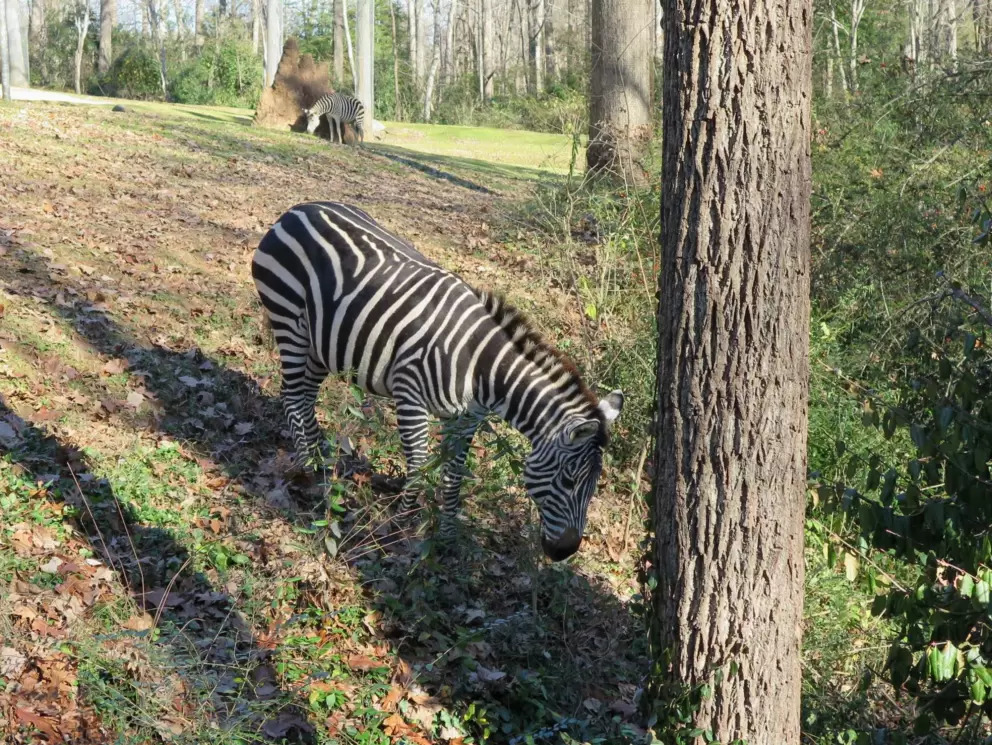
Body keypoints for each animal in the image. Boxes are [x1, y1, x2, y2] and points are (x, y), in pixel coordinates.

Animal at [251, 202, 624, 562]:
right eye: (568, 480)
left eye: (593, 486)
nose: (565, 553)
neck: (480, 366)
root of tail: (299, 209)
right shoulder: (410, 396)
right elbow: (418, 464)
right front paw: (401, 529)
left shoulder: (466, 419)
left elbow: (454, 473)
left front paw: (446, 538)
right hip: (289, 319)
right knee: (294, 396)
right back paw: (309, 472)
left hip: (321, 341)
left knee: (304, 395)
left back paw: (320, 459)